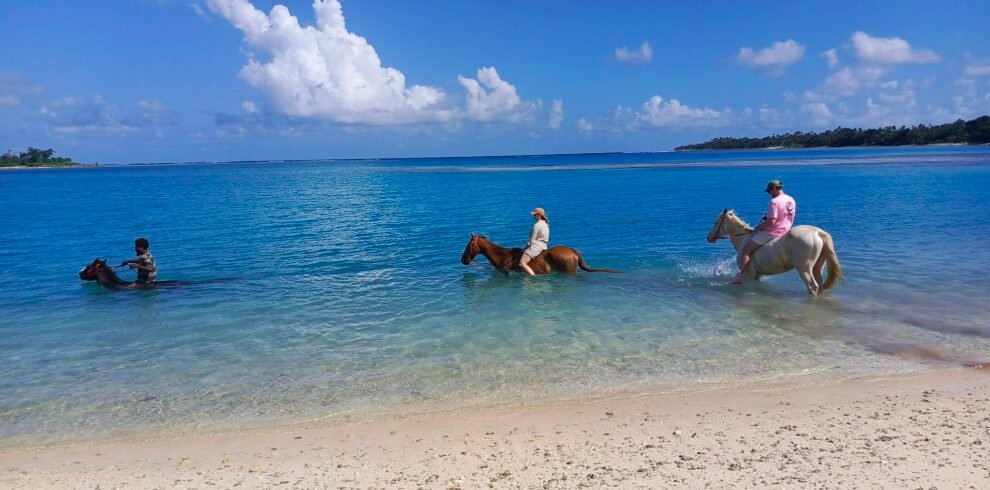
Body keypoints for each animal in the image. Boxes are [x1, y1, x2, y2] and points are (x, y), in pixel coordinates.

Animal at [706, 209, 843, 295]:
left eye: (716, 222)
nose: (709, 237)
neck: (743, 239)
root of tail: (818, 232)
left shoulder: (748, 274)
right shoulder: (757, 275)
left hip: (804, 269)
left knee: (813, 287)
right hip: (817, 267)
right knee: (819, 285)